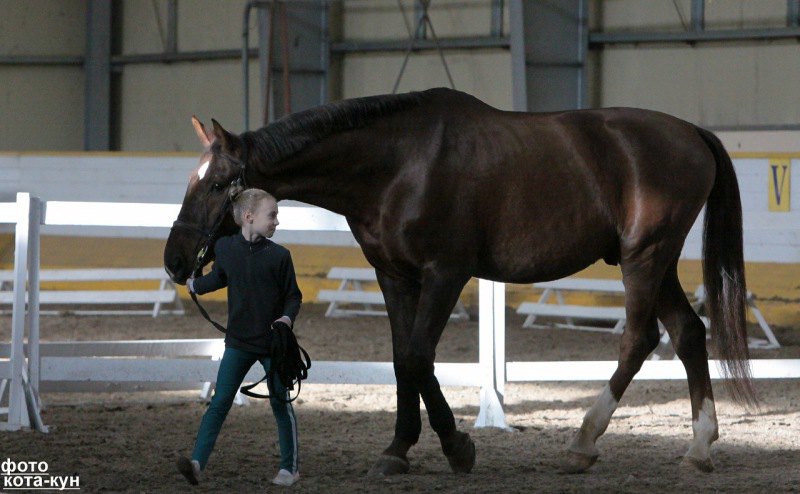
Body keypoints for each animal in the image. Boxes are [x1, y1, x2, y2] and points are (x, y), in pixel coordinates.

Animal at [164, 87, 756, 476]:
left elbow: (417, 357)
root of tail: (691, 133)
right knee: (688, 333)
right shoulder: (394, 277)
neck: (398, 164)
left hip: (644, 257)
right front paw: (398, 449)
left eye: (217, 184)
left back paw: (584, 441)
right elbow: (401, 358)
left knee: (640, 338)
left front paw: (456, 446)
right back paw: (700, 446)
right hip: (656, 261)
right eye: (190, 180)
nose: (174, 260)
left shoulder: (445, 273)